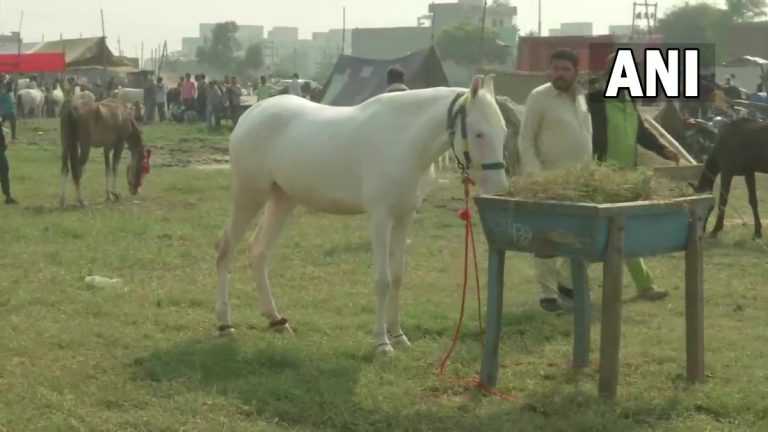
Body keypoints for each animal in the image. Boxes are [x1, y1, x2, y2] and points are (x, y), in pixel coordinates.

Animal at [213, 74, 510, 358]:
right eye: (479, 134)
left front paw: (399, 336)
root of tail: (251, 113)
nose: (500, 188)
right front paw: (382, 344)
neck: (403, 141)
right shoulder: (380, 217)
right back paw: (225, 325)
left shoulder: (405, 217)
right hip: (249, 195)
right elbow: (382, 281)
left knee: (259, 251)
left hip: (283, 199)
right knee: (225, 250)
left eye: (504, 131)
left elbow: (398, 277)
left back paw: (276, 321)